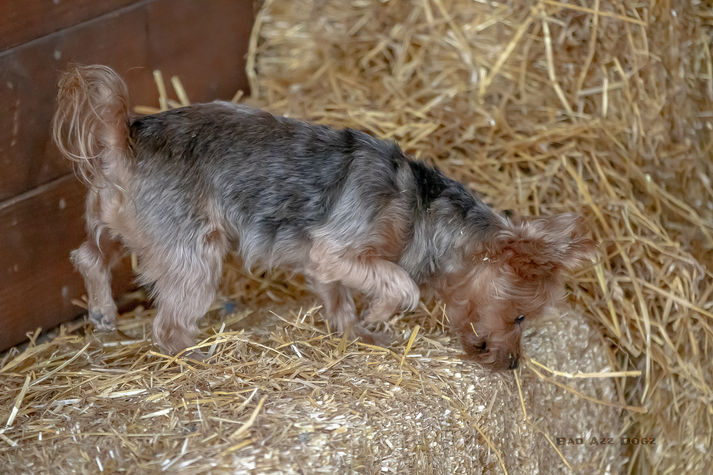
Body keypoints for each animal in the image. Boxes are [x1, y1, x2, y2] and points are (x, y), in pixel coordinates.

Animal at [52, 65, 596, 370]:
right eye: (521, 316)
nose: (514, 364)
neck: (423, 212)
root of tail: (127, 136)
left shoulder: (322, 263)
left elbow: (336, 298)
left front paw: (354, 330)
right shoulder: (339, 250)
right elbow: (401, 283)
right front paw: (378, 316)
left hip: (117, 221)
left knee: (87, 255)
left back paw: (102, 313)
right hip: (193, 252)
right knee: (167, 325)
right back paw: (196, 357)